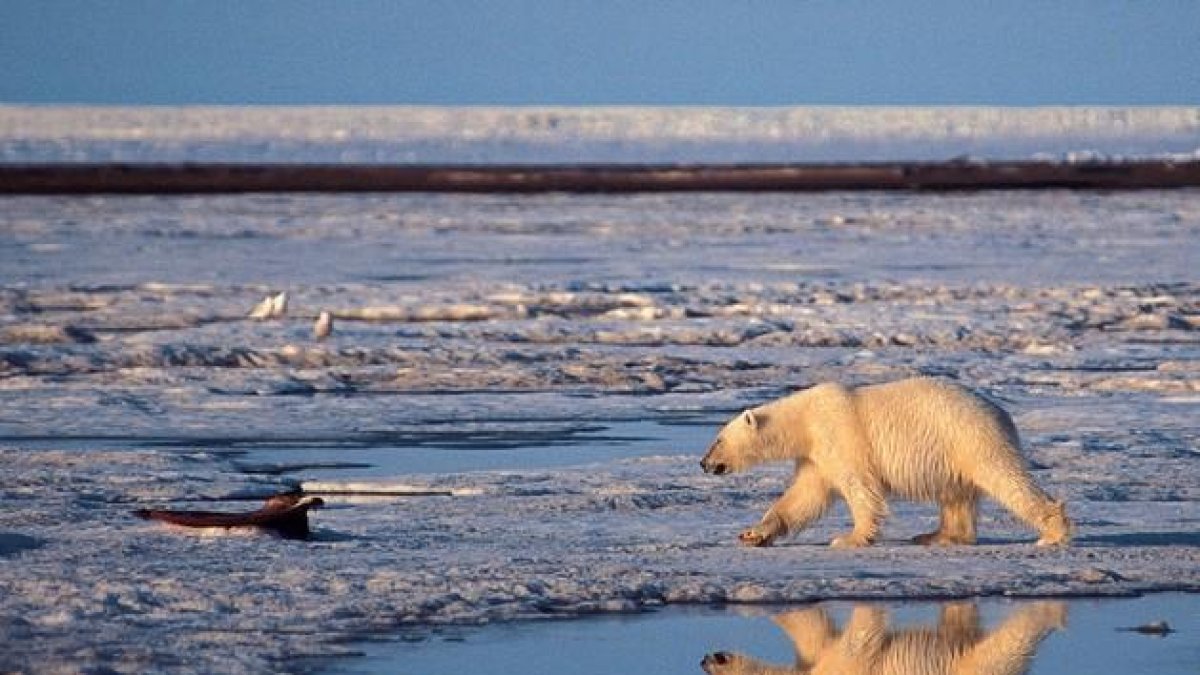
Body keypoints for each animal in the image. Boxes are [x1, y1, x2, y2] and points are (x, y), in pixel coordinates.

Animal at [699, 377, 1070, 548]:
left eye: (717, 440)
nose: (704, 463)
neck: (804, 420)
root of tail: (1002, 413)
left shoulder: (840, 436)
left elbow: (859, 488)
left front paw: (849, 539)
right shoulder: (815, 455)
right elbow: (804, 497)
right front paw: (752, 533)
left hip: (971, 438)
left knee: (1006, 479)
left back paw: (1052, 533)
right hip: (954, 452)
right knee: (956, 495)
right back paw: (937, 535)